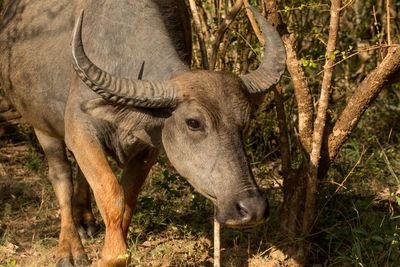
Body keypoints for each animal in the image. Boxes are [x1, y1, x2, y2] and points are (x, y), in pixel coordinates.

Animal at [1, 0, 286, 266]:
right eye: (194, 122)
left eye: (246, 120)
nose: (252, 208)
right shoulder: (79, 129)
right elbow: (111, 192)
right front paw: (112, 254)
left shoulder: (150, 146)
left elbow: (128, 198)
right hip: (42, 126)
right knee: (61, 177)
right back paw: (69, 250)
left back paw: (85, 219)